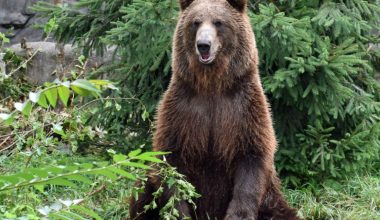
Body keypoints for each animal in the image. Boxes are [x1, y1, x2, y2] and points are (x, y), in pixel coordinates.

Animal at [129, 0, 298, 220]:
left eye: (218, 22)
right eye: (196, 22)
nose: (203, 44)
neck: (212, 83)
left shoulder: (244, 109)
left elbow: (252, 156)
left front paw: (238, 215)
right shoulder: (182, 109)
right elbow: (171, 162)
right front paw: (180, 212)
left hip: (271, 198)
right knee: (143, 188)